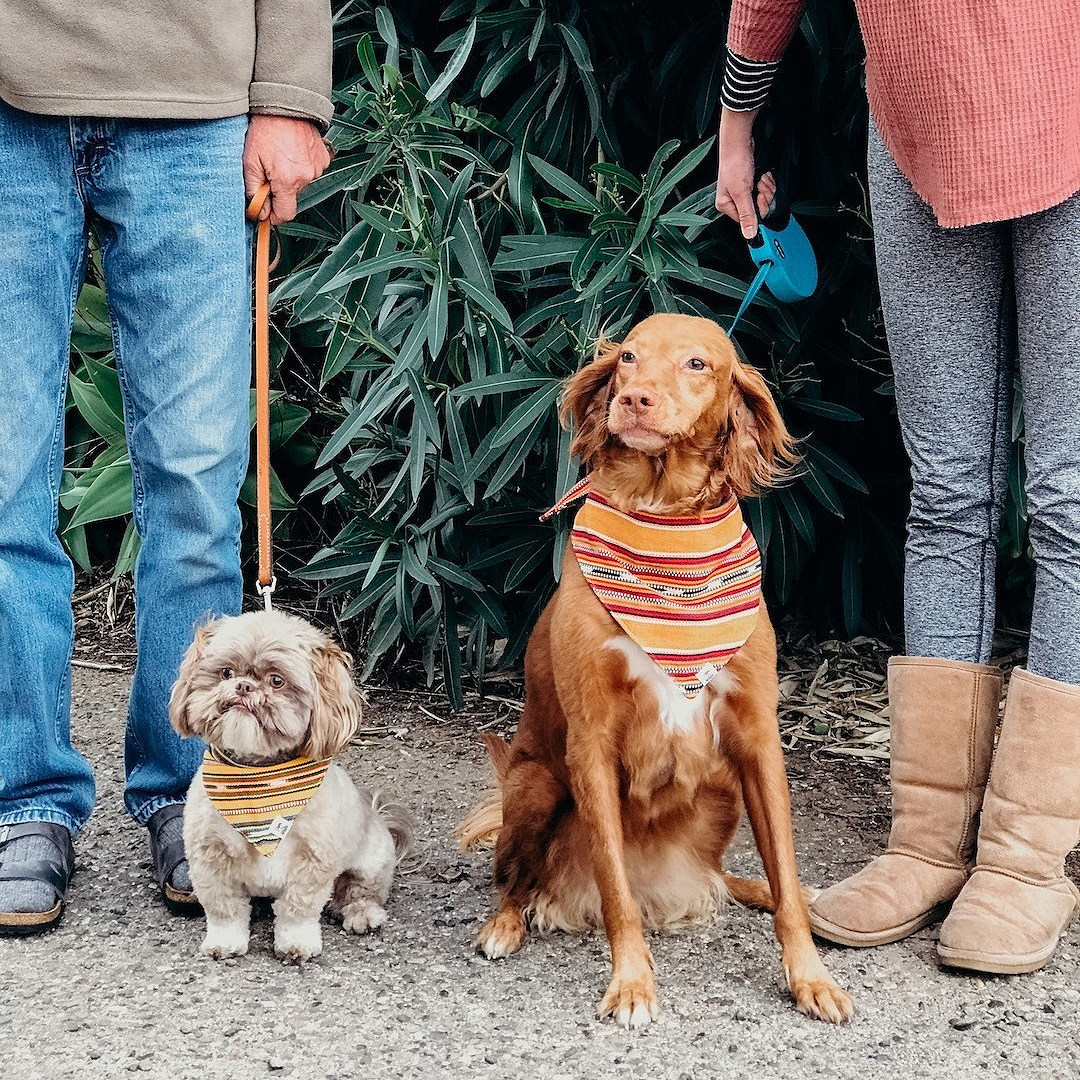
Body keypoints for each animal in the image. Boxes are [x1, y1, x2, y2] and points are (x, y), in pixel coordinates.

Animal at [169, 609, 416, 963]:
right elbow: (224, 908)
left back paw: (361, 914)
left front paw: (296, 944)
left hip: (371, 862)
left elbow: (297, 908)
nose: (243, 686)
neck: (259, 781)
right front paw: (225, 941)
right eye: (226, 672)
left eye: (277, 681)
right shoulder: (210, 859)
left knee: (359, 892)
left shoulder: (312, 861)